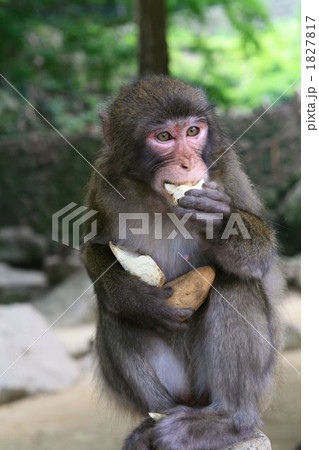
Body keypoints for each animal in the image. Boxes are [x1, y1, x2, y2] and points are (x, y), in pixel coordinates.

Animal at [81, 75, 284, 448]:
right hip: (175, 387)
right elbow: (94, 250)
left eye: (193, 131)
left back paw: (226, 421)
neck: (157, 199)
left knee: (234, 284)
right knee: (113, 311)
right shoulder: (102, 181)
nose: (189, 163)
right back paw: (153, 423)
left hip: (252, 384)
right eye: (163, 137)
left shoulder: (225, 169)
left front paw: (216, 221)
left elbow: (260, 255)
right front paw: (135, 297)